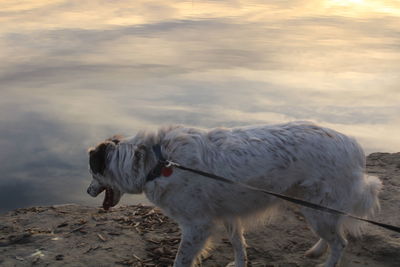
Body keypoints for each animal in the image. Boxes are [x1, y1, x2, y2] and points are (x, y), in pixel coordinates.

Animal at [87, 122, 382, 267]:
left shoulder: (197, 226)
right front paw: (240, 263)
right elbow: (238, 244)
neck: (156, 161)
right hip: (313, 206)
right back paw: (317, 250)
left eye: (93, 172)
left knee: (340, 242)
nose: (88, 192)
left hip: (316, 209)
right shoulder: (229, 214)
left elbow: (181, 260)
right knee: (333, 233)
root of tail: (354, 146)